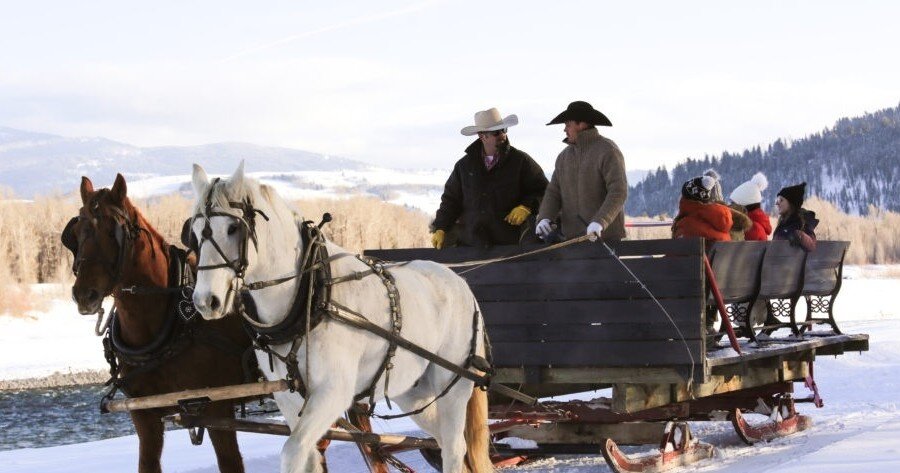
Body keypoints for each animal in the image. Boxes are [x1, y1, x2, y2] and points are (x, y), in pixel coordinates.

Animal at [62, 174, 252, 473]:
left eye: (112, 232)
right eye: (76, 232)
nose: (84, 294)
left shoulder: (217, 407)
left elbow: (230, 462)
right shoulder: (144, 414)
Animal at [185, 162, 494, 473]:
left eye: (233, 228)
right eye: (196, 231)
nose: (205, 301)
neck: (310, 295)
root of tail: (461, 282)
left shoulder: (333, 392)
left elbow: (292, 451)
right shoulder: (287, 396)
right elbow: (308, 457)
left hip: (453, 383)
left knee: (454, 447)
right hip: (414, 391)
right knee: (443, 440)